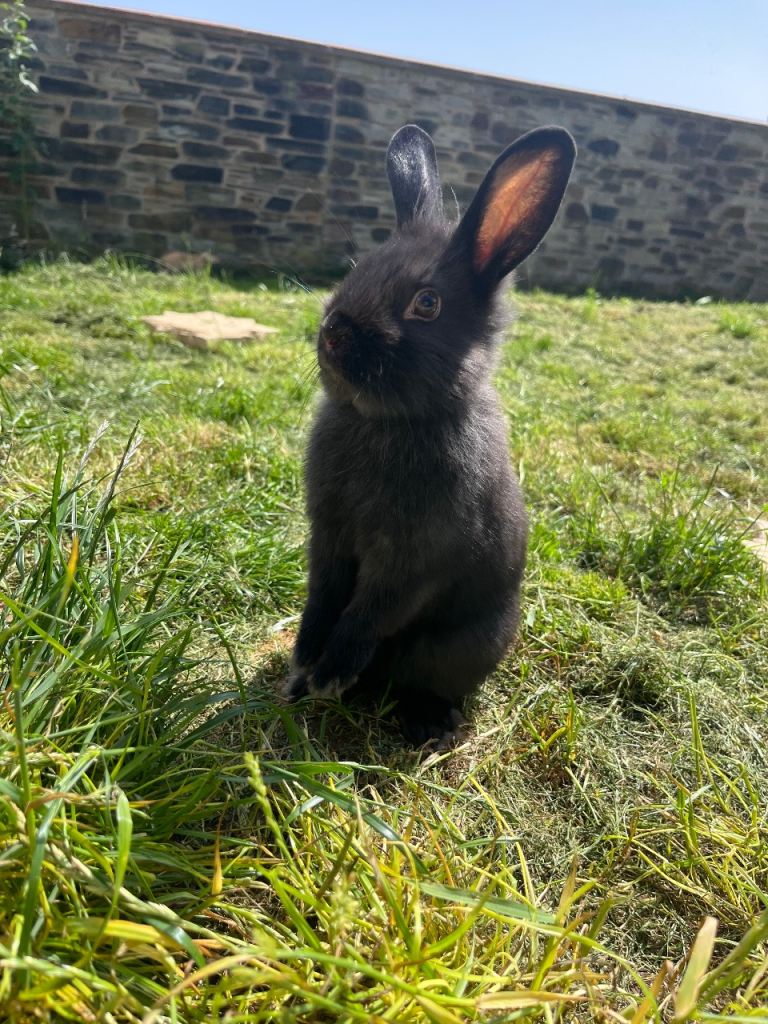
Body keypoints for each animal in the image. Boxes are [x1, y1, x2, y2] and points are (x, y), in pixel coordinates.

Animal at [285, 123, 576, 746]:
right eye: (356, 270)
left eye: (426, 303)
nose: (334, 333)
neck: (383, 422)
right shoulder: (329, 536)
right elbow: (322, 597)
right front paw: (303, 664)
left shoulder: (414, 560)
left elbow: (369, 613)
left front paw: (329, 674)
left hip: (463, 648)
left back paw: (427, 725)